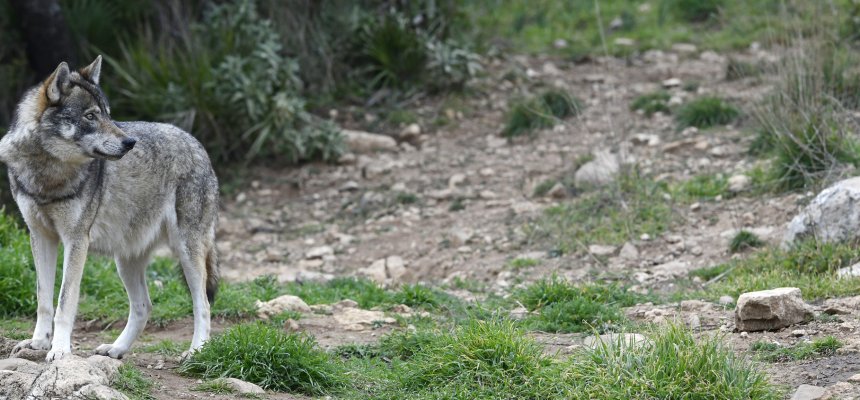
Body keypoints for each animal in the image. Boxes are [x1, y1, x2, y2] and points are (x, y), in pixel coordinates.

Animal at [0, 56, 220, 361]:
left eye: (107, 114)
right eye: (91, 116)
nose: (129, 143)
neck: (48, 173)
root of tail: (197, 144)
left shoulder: (76, 241)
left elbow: (64, 302)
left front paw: (59, 349)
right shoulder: (40, 237)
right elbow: (44, 299)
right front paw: (37, 344)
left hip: (187, 252)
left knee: (203, 305)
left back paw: (196, 351)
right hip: (125, 260)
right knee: (144, 306)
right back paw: (116, 349)